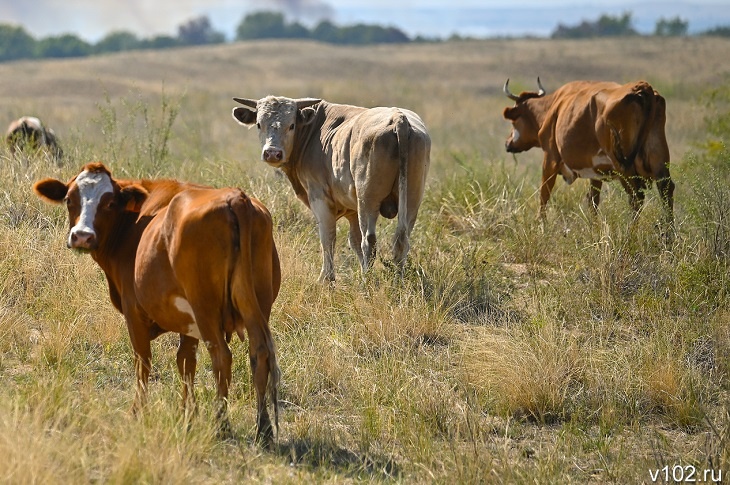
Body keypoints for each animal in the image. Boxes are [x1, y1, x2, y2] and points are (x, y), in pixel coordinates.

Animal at [32, 163, 280, 442]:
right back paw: (263, 427)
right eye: (68, 199)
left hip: (205, 308)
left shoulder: (134, 313)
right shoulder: (188, 323)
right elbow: (186, 363)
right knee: (259, 353)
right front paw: (187, 415)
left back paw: (222, 424)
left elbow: (143, 362)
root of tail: (236, 197)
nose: (82, 236)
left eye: (109, 203)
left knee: (222, 357)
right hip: (257, 306)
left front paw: (137, 412)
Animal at [230, 95, 430, 282]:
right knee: (401, 240)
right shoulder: (352, 209)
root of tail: (398, 119)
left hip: (368, 200)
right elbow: (354, 240)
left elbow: (328, 238)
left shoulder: (320, 198)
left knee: (369, 242)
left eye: (292, 125)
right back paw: (397, 281)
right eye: (259, 124)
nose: (272, 153)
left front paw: (326, 279)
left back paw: (366, 282)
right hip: (411, 200)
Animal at [500, 77, 672, 225]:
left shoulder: (550, 158)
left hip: (623, 166)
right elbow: (593, 202)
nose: (507, 143)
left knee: (636, 198)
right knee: (666, 190)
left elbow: (544, 194)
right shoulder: (597, 171)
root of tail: (642, 88)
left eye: (514, 121)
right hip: (658, 160)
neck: (555, 105)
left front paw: (541, 224)